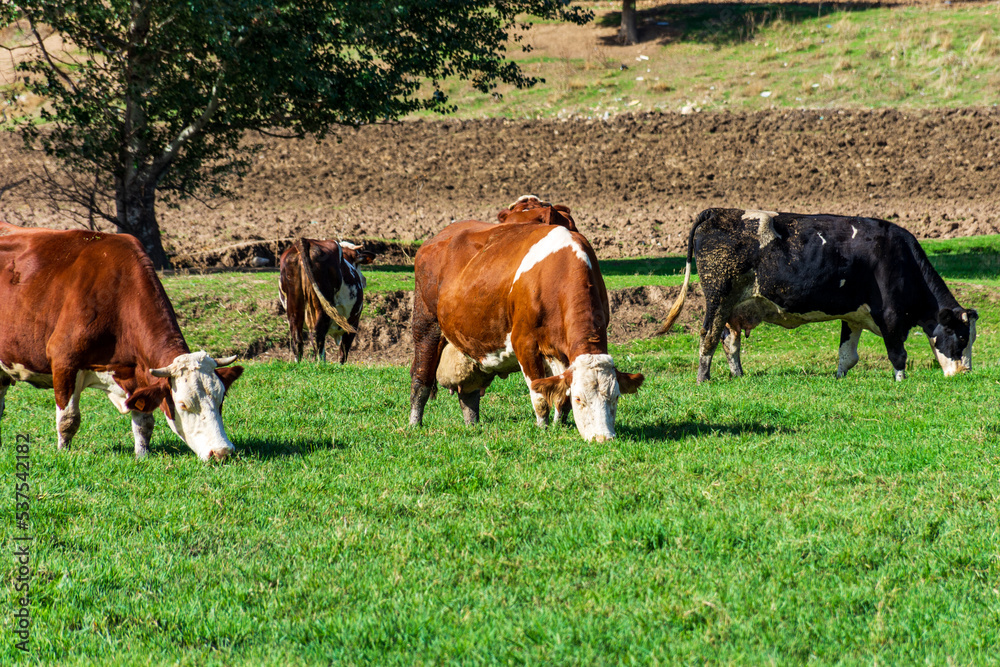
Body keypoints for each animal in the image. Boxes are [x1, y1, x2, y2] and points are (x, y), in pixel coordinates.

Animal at [0, 222, 244, 462]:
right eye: (183, 404)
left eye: (221, 399)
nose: (222, 452)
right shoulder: (64, 361)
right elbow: (68, 419)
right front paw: (63, 453)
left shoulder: (139, 374)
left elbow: (144, 422)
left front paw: (142, 455)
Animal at [410, 204, 644, 444]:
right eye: (580, 398)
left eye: (616, 397)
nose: (603, 438)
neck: (558, 275)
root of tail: (437, 236)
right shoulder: (524, 343)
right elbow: (540, 395)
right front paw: (543, 429)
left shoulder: (559, 351)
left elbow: (560, 393)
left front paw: (560, 426)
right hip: (425, 324)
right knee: (421, 379)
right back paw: (414, 423)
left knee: (469, 393)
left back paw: (472, 426)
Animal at [656, 209, 976, 386]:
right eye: (961, 337)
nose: (966, 373)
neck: (901, 259)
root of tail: (716, 212)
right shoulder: (891, 318)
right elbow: (898, 355)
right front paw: (900, 381)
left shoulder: (853, 316)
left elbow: (848, 355)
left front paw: (839, 378)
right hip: (718, 297)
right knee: (708, 336)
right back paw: (703, 379)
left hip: (733, 307)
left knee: (728, 340)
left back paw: (739, 375)